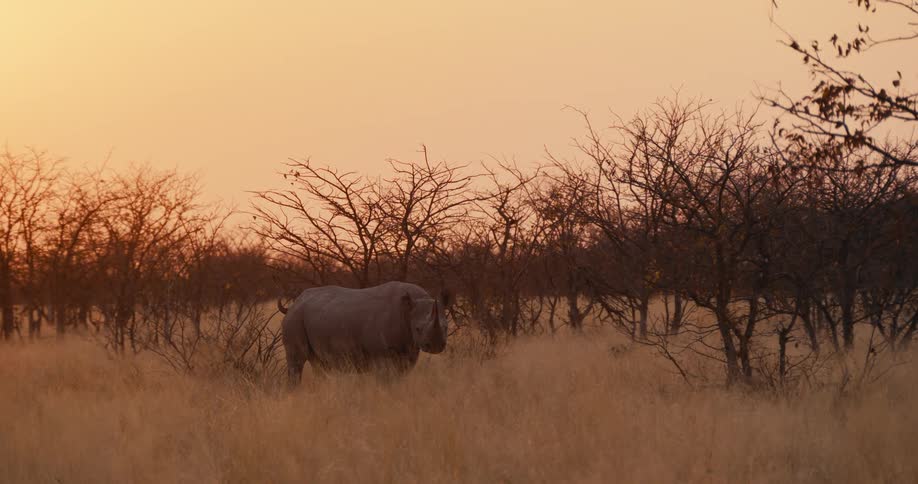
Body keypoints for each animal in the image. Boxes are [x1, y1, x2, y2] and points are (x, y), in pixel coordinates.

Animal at [279, 281, 451, 386]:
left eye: (447, 327)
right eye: (417, 329)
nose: (436, 346)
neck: (407, 310)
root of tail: (294, 303)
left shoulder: (408, 348)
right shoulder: (381, 354)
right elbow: (386, 379)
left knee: (319, 364)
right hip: (295, 318)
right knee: (297, 361)